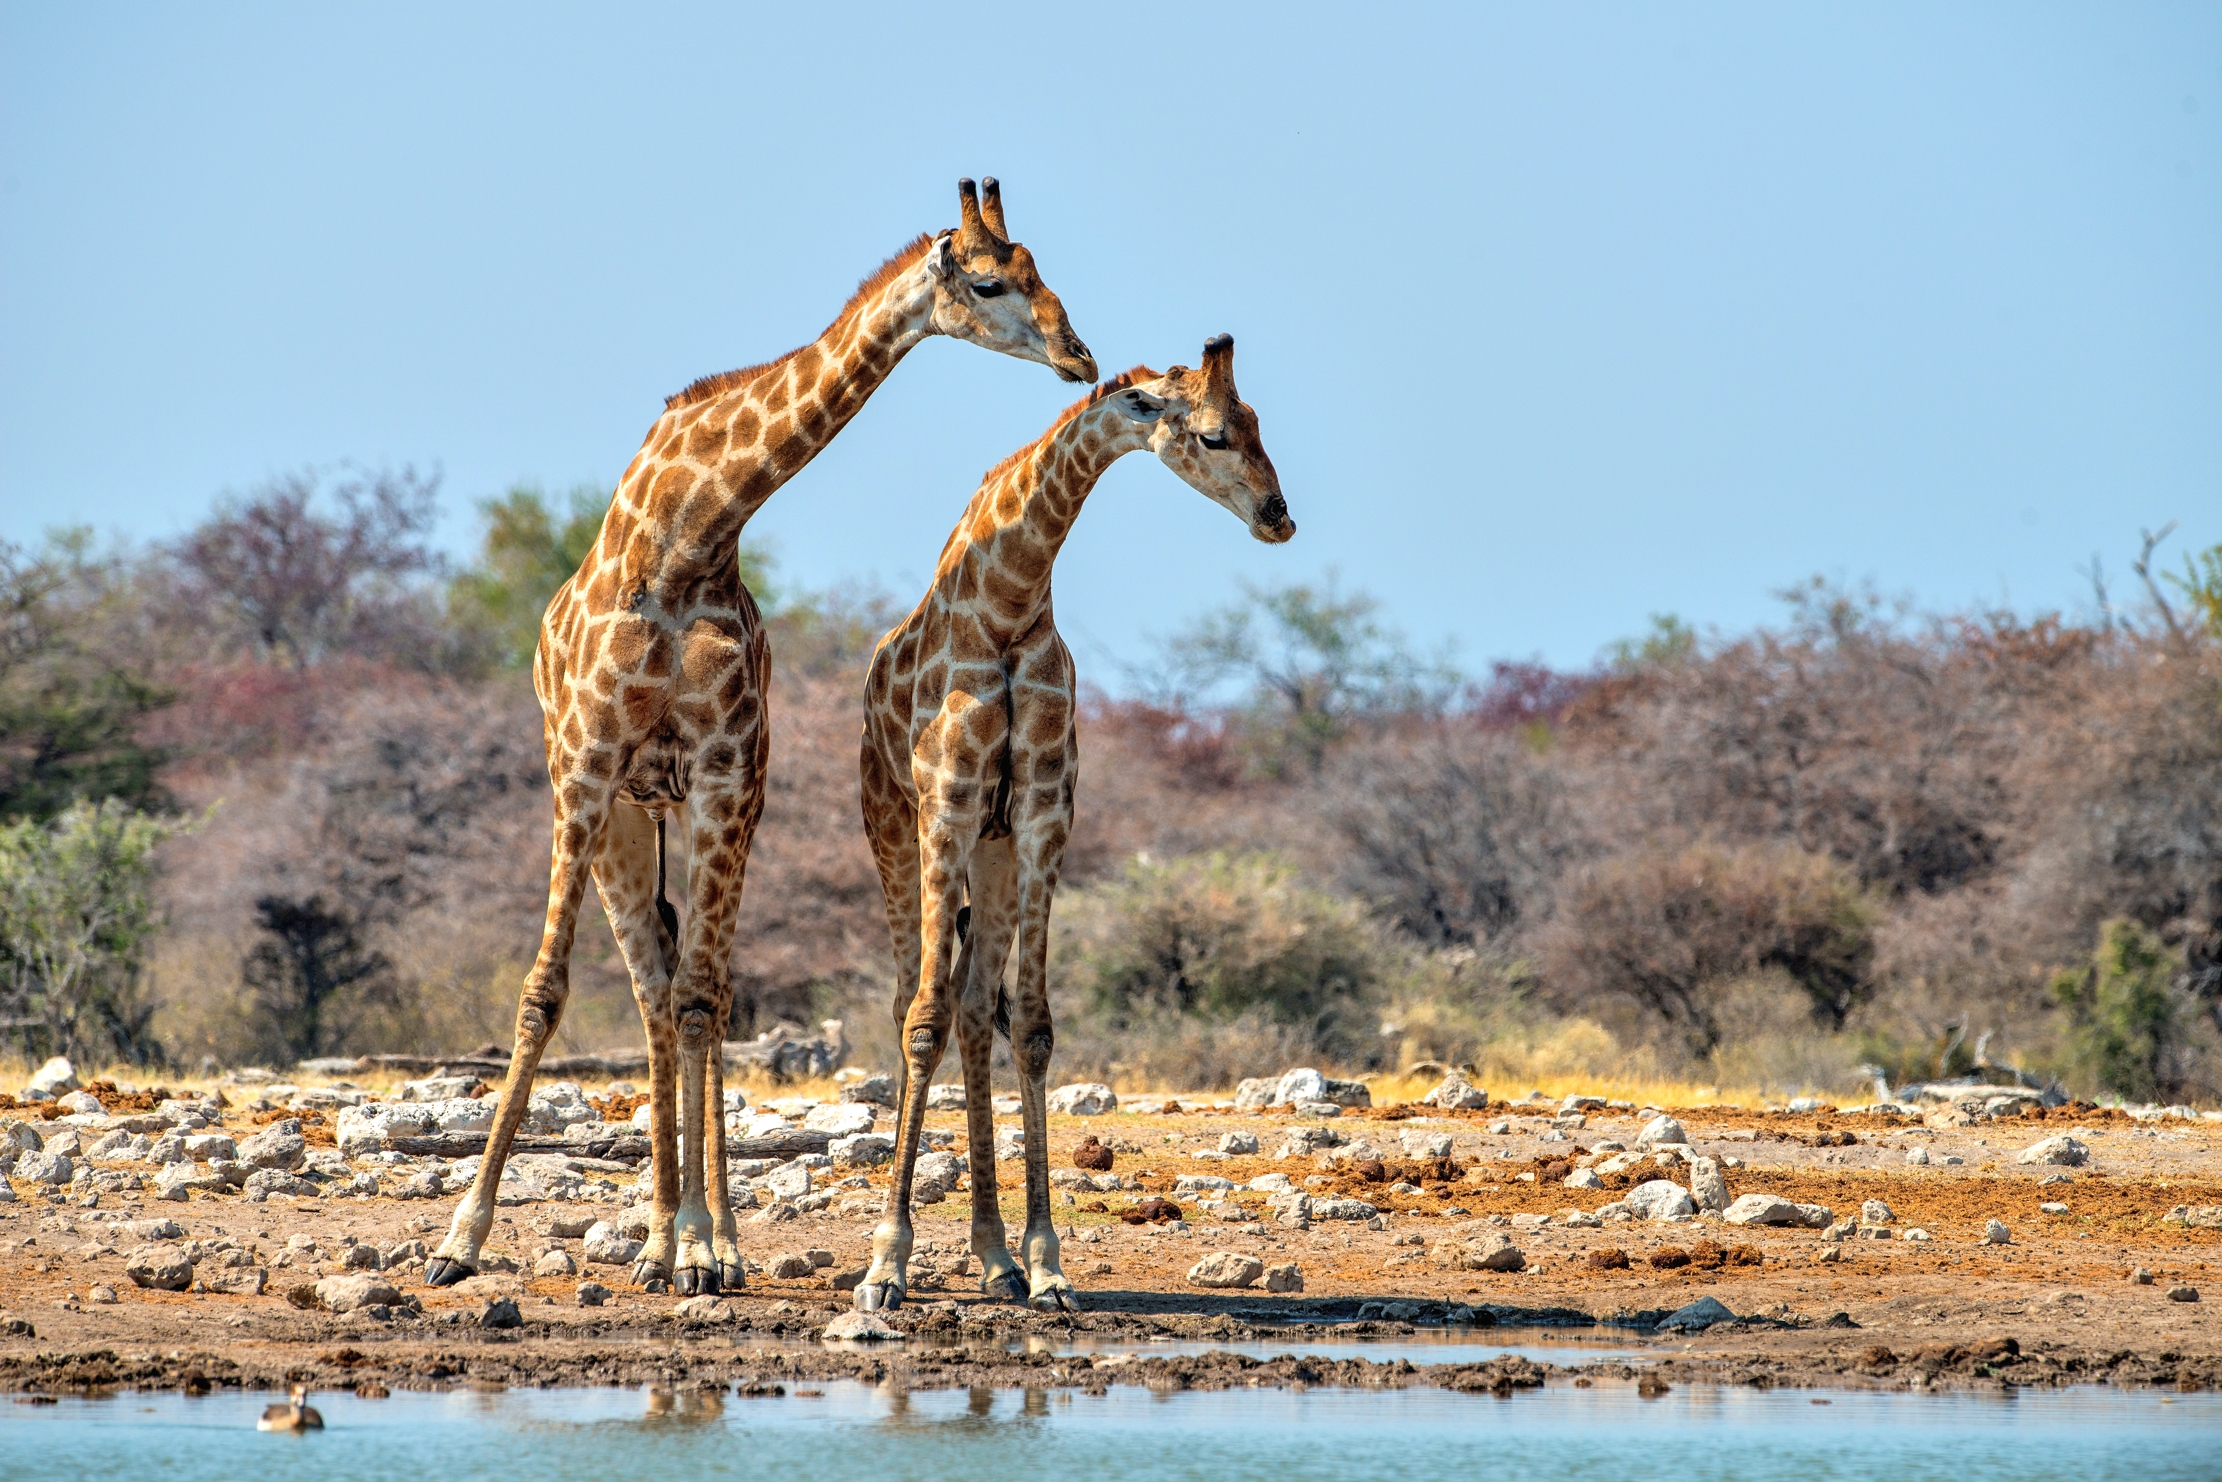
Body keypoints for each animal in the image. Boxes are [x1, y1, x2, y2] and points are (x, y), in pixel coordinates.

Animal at [422, 179, 1097, 1296]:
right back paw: (656, 1237)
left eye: (1045, 271)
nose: (1081, 356)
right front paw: (458, 1238)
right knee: (650, 989)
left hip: (694, 807)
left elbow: (706, 1000)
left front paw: (708, 1246)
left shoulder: (727, 769)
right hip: (620, 818)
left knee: (687, 991)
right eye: (993, 282)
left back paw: (694, 1243)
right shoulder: (585, 765)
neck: (685, 533)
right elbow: (540, 995)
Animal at [854, 335, 1292, 1312]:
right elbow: (922, 1020)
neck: (1010, 603)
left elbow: (1034, 1024)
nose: (1279, 517)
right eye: (1213, 433)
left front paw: (1049, 1263)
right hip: (895, 832)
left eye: (1257, 422)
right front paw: (885, 1265)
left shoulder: (1043, 817)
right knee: (915, 1002)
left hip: (992, 855)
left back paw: (994, 1258)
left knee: (976, 1008)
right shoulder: (946, 803)